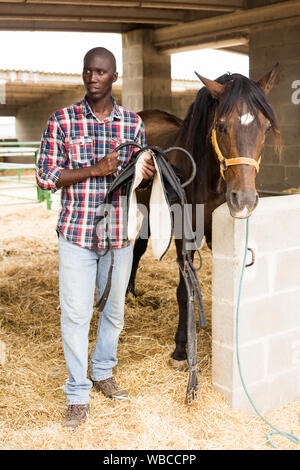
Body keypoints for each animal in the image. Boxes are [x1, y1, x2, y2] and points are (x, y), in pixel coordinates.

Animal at [130, 64, 280, 370]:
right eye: (221, 125)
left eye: (266, 127)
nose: (244, 200)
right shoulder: (184, 237)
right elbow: (184, 291)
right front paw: (181, 349)